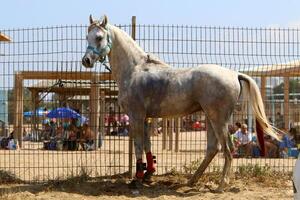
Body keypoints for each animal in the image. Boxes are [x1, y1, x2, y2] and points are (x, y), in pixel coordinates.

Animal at [81, 15, 278, 191]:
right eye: (87, 37)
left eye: (99, 37)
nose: (86, 61)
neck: (135, 70)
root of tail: (234, 74)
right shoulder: (145, 119)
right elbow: (147, 145)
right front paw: (148, 174)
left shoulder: (136, 117)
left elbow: (138, 146)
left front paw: (136, 179)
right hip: (211, 118)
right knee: (212, 149)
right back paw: (192, 180)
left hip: (219, 120)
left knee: (228, 149)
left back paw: (221, 185)